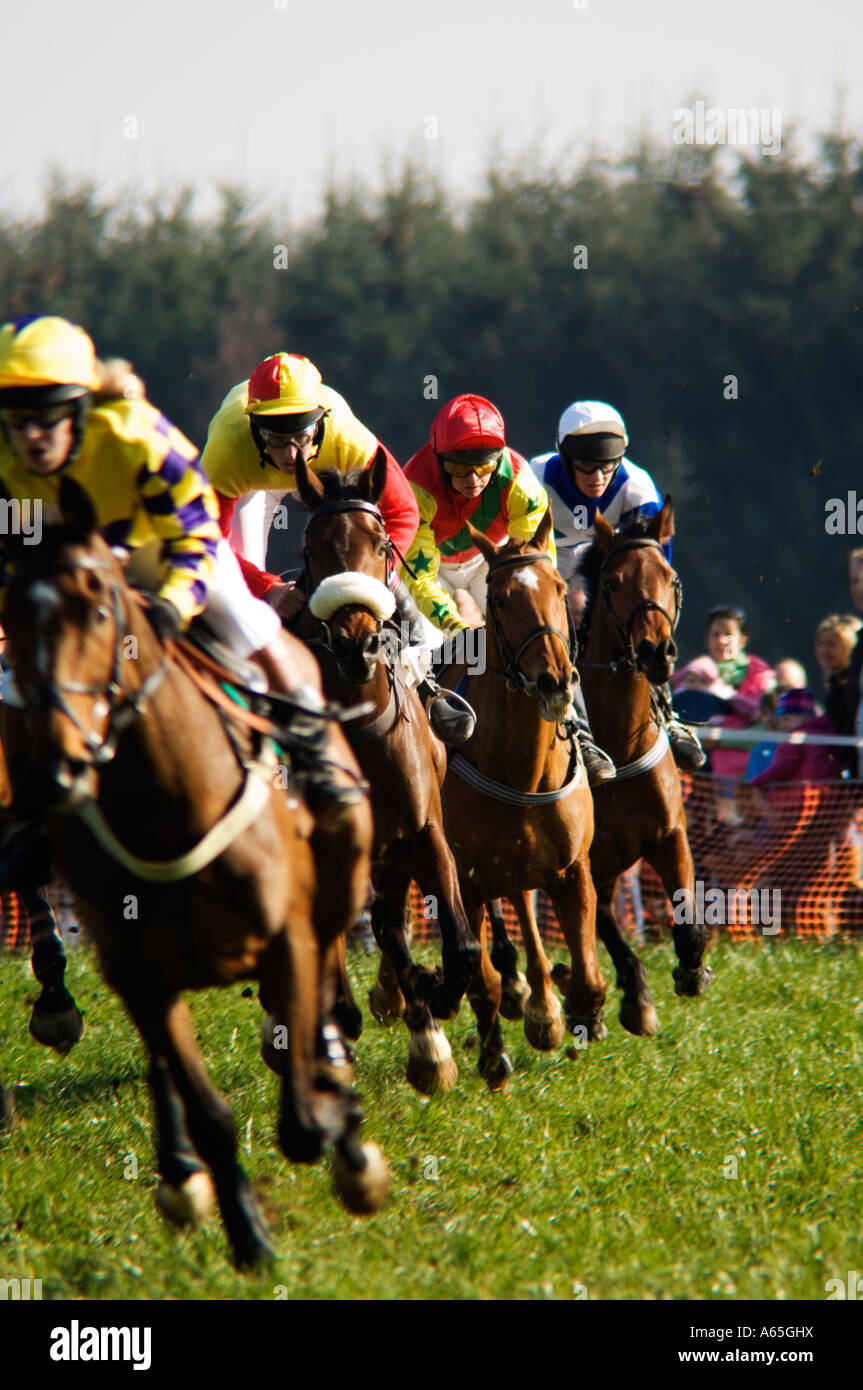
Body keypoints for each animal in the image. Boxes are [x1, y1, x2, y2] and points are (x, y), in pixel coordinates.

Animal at [0, 480, 383, 1273]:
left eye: (99, 607)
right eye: (12, 618)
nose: (57, 763)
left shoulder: (291, 938)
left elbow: (304, 1099)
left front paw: (344, 1130)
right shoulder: (139, 973)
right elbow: (207, 1105)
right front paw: (247, 1234)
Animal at [293, 458, 480, 1095]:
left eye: (380, 546)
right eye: (312, 547)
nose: (356, 644)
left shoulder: (424, 832)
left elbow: (460, 943)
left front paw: (437, 1000)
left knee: (390, 925)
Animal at [441, 511, 603, 1084]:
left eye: (560, 589)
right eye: (504, 598)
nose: (555, 680)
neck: (523, 773)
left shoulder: (573, 869)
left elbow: (589, 977)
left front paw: (571, 1012)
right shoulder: (462, 878)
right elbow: (480, 977)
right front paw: (494, 1055)